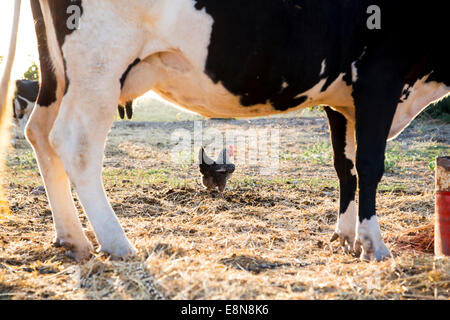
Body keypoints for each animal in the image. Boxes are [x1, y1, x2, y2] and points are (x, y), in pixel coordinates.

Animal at [1, 0, 448, 262]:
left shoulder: (342, 100)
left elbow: (345, 168)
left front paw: (345, 237)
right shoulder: (379, 77)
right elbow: (369, 166)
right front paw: (373, 244)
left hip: (56, 70)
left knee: (39, 132)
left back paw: (72, 239)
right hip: (99, 59)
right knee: (74, 142)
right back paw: (117, 243)